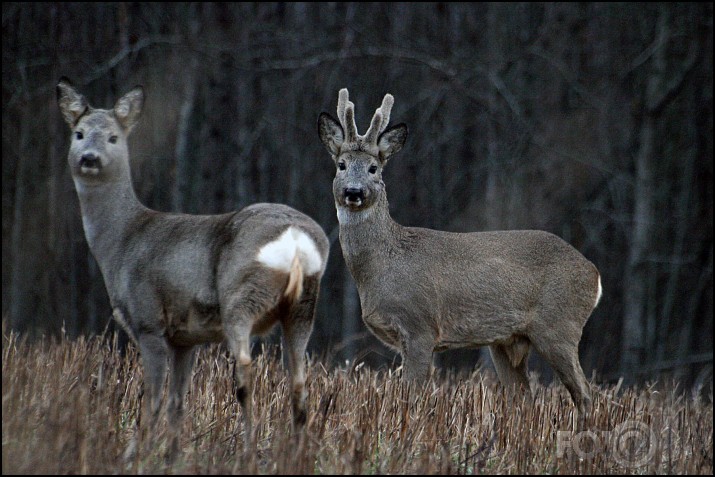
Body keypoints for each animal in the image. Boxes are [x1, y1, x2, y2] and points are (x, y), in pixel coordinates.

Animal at [57, 76, 332, 456]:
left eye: (113, 137)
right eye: (79, 133)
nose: (89, 158)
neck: (122, 240)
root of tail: (295, 239)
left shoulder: (149, 321)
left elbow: (153, 398)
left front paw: (135, 453)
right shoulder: (185, 339)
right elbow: (178, 401)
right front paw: (171, 454)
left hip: (241, 296)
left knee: (245, 370)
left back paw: (248, 449)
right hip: (303, 306)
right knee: (300, 380)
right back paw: (297, 453)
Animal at [318, 89, 604, 420]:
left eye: (373, 168)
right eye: (341, 164)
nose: (354, 192)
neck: (382, 266)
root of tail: (594, 274)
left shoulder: (421, 326)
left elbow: (410, 396)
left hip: (559, 326)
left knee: (584, 392)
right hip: (507, 341)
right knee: (524, 398)